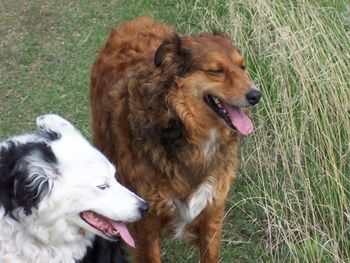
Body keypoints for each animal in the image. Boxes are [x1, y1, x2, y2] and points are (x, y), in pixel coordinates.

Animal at [90, 16, 260, 263]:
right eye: (216, 70)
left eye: (242, 66)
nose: (256, 95)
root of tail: (138, 20)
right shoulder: (147, 222)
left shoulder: (212, 211)